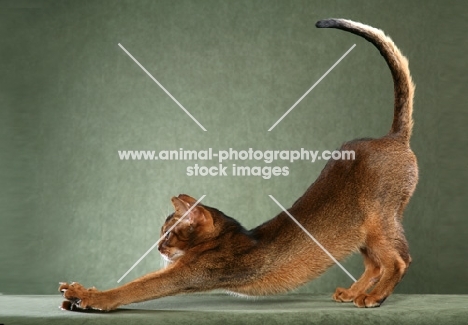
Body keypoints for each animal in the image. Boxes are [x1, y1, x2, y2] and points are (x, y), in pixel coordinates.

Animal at [57, 17, 416, 308]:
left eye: (169, 234)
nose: (158, 248)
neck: (225, 236)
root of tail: (392, 136)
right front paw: (81, 290)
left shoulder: (190, 275)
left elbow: (135, 287)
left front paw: (88, 296)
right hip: (361, 231)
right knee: (375, 263)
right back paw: (354, 292)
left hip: (380, 220)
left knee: (399, 260)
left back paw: (373, 297)